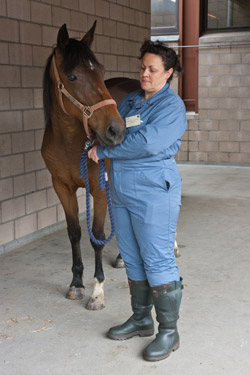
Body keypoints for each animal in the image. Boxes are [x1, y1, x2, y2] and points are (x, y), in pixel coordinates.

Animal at [41, 22, 129, 312]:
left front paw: (97, 291)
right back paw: (123, 257)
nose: (116, 130)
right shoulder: (62, 187)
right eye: (72, 76)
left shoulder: (99, 190)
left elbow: (97, 236)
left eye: (101, 70)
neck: (70, 141)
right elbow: (75, 233)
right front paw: (76, 283)